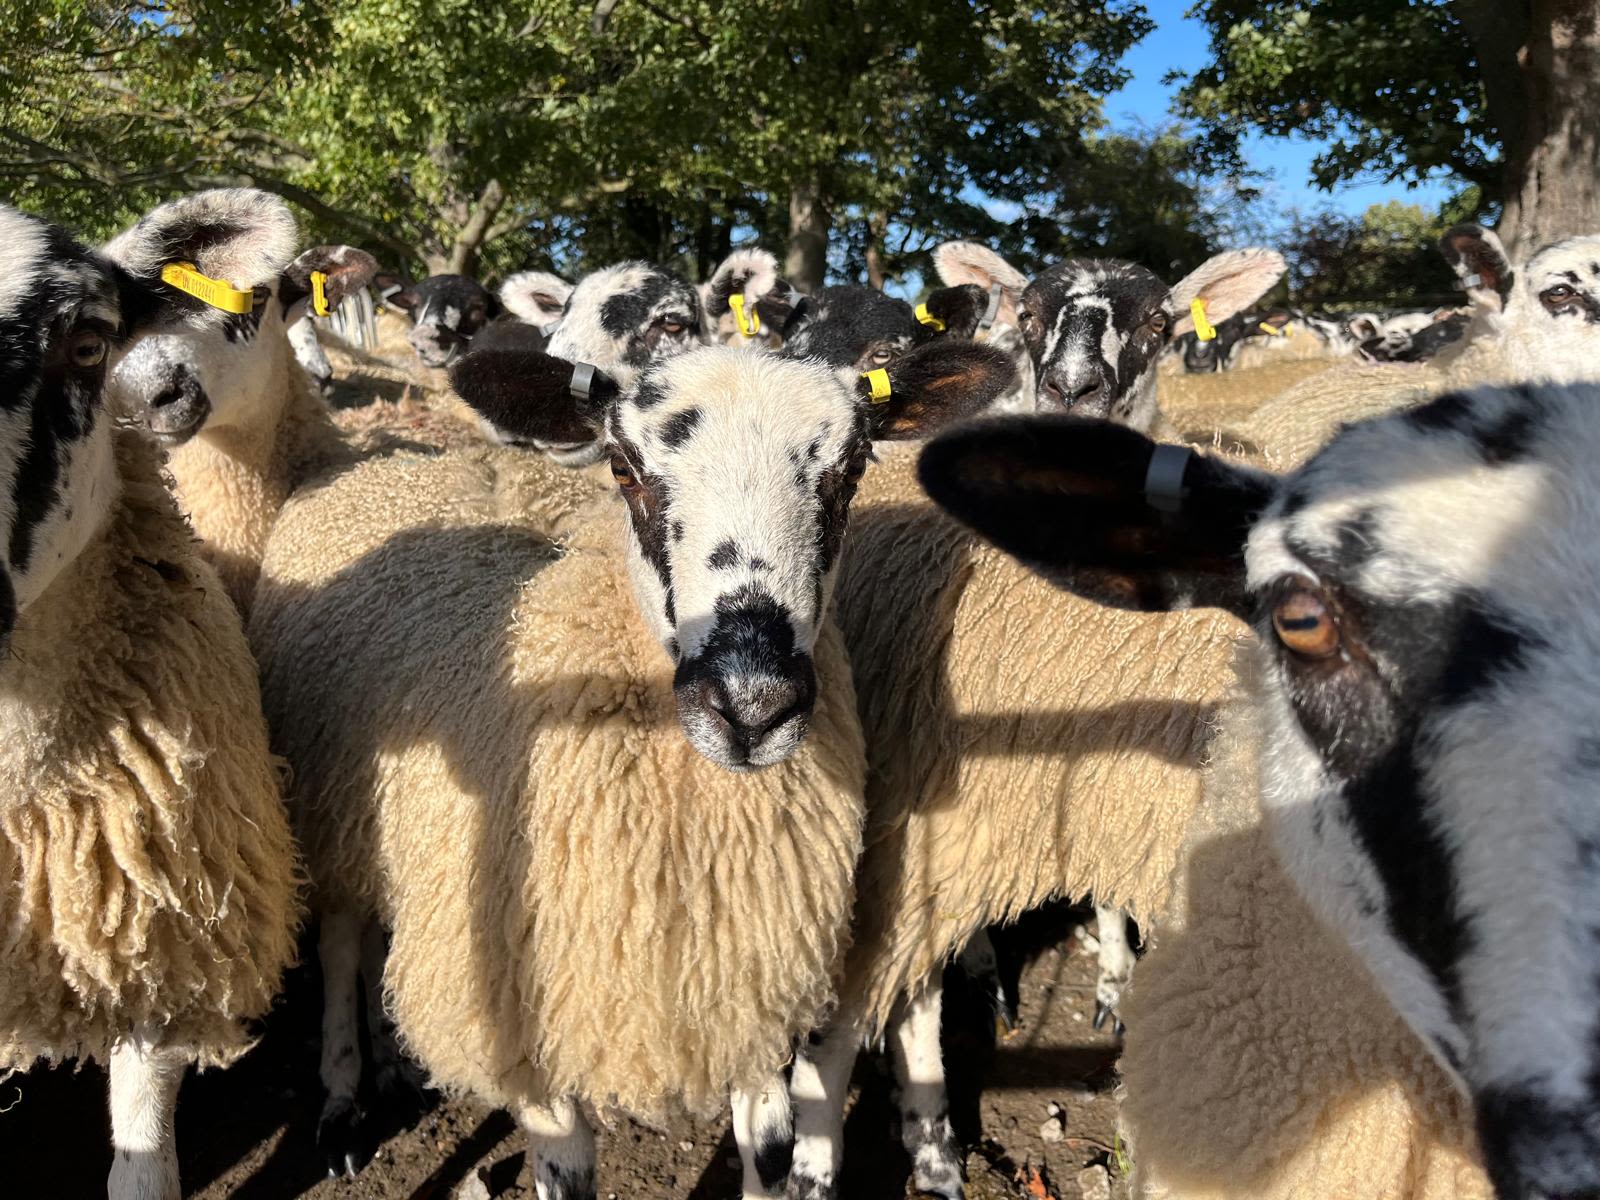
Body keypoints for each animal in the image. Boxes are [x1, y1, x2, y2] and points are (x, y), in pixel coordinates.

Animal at [246, 336, 1016, 1194]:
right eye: (622, 466)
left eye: (851, 470)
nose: (752, 703)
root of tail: (401, 456)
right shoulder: (534, 1038)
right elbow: (565, 1171)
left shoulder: (750, 1004)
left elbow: (768, 1152)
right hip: (327, 795)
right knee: (340, 938)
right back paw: (344, 1099)